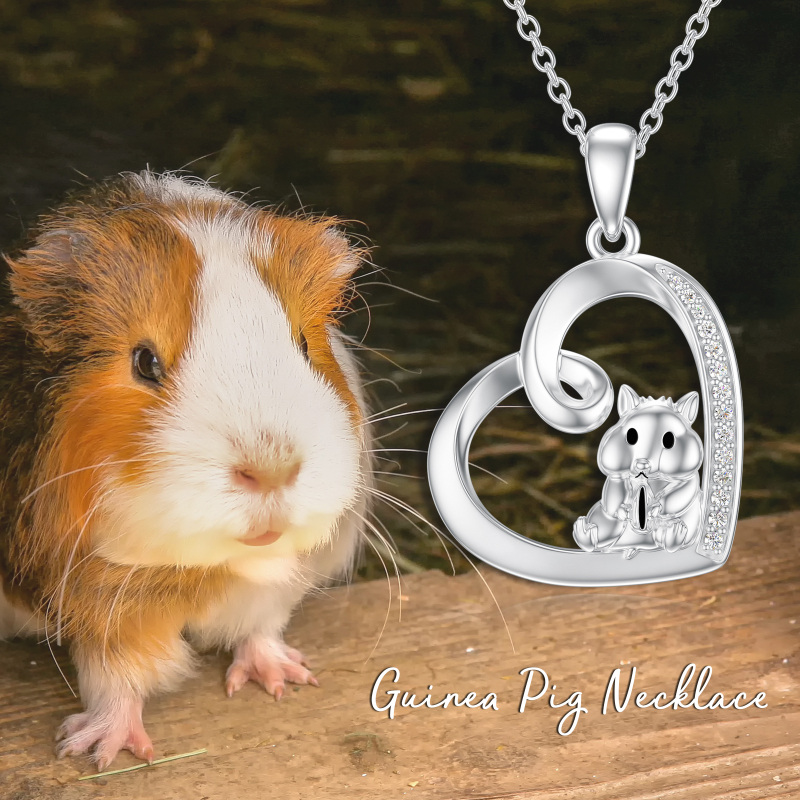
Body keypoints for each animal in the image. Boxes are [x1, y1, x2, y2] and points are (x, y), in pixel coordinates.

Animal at [0, 172, 371, 768]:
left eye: (304, 343)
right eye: (144, 361)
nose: (272, 469)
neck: (203, 571)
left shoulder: (273, 584)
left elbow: (261, 625)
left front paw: (283, 681)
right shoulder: (99, 603)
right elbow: (116, 678)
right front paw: (100, 754)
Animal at [573, 384, 703, 559]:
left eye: (669, 439)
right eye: (631, 435)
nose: (642, 464)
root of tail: (635, 545)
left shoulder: (689, 479)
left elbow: (680, 494)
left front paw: (654, 509)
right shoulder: (616, 478)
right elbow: (614, 494)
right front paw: (624, 511)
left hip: (691, 520)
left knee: (671, 536)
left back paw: (674, 533)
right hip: (601, 518)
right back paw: (583, 530)